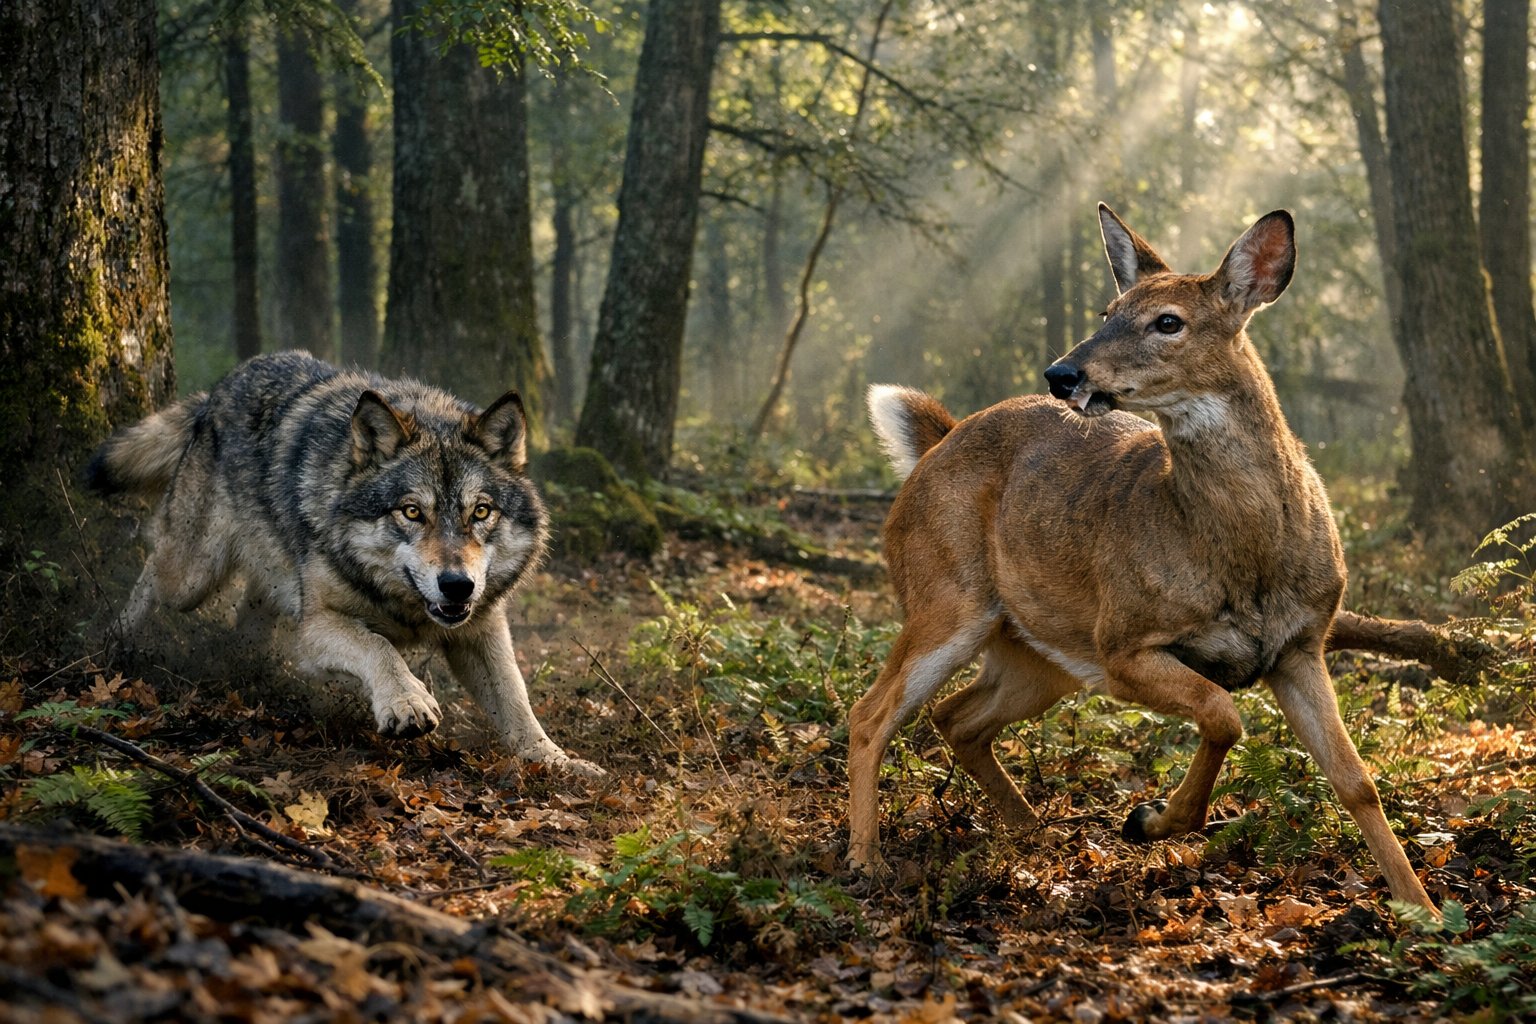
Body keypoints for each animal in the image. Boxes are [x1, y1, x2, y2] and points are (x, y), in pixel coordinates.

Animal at [87, 351, 602, 777]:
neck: (404, 607)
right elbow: (380, 648)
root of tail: (218, 388)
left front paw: (556, 761)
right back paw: (115, 636)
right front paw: (407, 701)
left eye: (480, 512)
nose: (457, 585)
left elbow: (516, 698)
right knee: (154, 561)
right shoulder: (316, 628)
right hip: (193, 576)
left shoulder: (481, 628)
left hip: (264, 581)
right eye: (411, 512)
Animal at [849, 204, 1436, 912]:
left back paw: (1034, 833)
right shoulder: (1123, 643)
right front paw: (1153, 819)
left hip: (1044, 652)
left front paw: (1425, 913)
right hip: (949, 595)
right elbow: (1223, 713)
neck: (1242, 558)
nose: (1062, 374)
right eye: (1108, 310)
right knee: (871, 714)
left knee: (957, 717)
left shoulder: (1299, 646)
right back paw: (866, 861)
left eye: (1168, 321)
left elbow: (1357, 781)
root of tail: (936, 445)